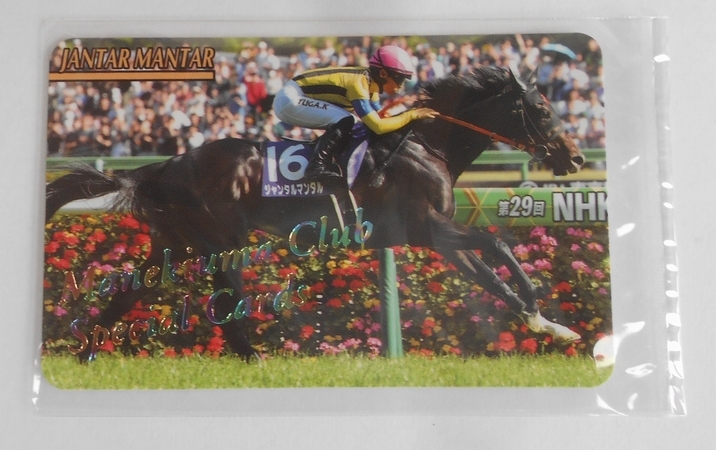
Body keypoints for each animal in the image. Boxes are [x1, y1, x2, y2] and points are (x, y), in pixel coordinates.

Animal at [45, 66, 584, 360]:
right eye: (541, 111)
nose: (576, 158)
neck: (426, 147)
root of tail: (167, 164)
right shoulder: (426, 226)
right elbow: (497, 243)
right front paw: (543, 314)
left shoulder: (436, 236)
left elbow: (489, 277)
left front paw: (550, 326)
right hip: (222, 243)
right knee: (225, 307)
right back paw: (255, 360)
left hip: (173, 244)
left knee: (128, 294)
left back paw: (86, 353)